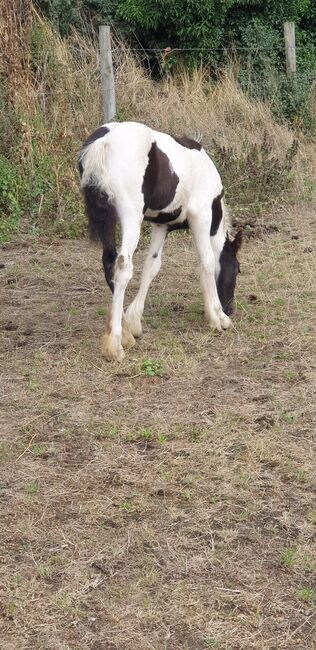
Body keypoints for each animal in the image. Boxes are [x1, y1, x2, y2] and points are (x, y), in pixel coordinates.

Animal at [79, 121, 242, 360]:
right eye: (238, 269)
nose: (230, 308)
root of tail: (104, 141)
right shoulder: (201, 216)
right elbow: (208, 261)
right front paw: (218, 317)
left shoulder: (161, 226)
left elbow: (152, 266)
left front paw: (134, 320)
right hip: (131, 216)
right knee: (123, 267)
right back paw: (115, 344)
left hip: (109, 220)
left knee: (109, 264)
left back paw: (125, 333)